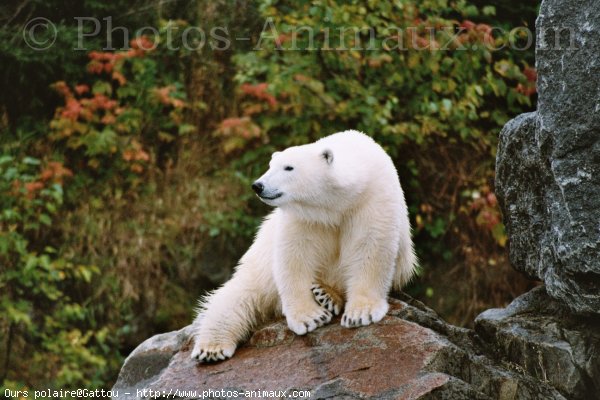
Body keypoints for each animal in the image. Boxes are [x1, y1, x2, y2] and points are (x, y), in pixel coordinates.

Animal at [190, 130, 414, 362]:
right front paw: (310, 317)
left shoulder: (372, 199)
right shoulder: (303, 217)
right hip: (259, 263)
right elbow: (295, 255)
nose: (258, 185)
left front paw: (360, 314)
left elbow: (371, 246)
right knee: (236, 296)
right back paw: (211, 348)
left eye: (289, 167)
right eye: (270, 165)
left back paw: (326, 294)